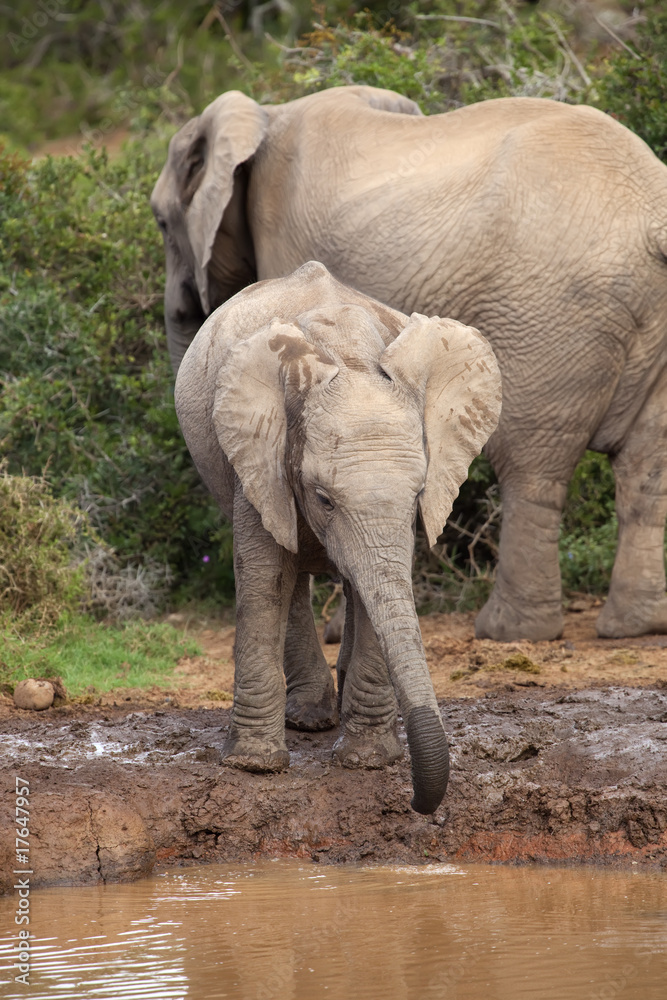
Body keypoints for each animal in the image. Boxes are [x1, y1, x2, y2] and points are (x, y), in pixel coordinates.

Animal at [151, 83, 667, 642]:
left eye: (160, 221)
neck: (268, 112)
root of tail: (652, 212)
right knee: (646, 468)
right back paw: (634, 626)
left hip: (550, 313)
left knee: (532, 466)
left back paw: (509, 631)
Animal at [174, 261, 502, 813]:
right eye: (324, 498)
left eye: (420, 494)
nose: (418, 804)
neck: (348, 353)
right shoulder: (257, 455)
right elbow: (264, 577)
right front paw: (253, 766)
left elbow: (377, 584)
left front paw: (368, 761)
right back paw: (309, 718)